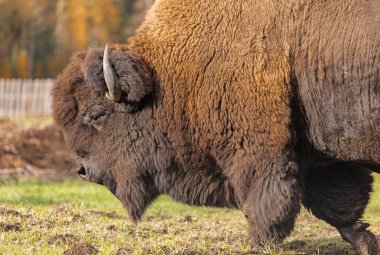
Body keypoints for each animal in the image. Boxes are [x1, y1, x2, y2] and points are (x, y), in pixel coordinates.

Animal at [51, 0, 380, 254]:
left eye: (96, 115)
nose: (83, 170)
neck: (169, 79)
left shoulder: (260, 155)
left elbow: (264, 208)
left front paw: (258, 244)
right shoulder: (324, 158)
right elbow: (340, 209)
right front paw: (366, 242)